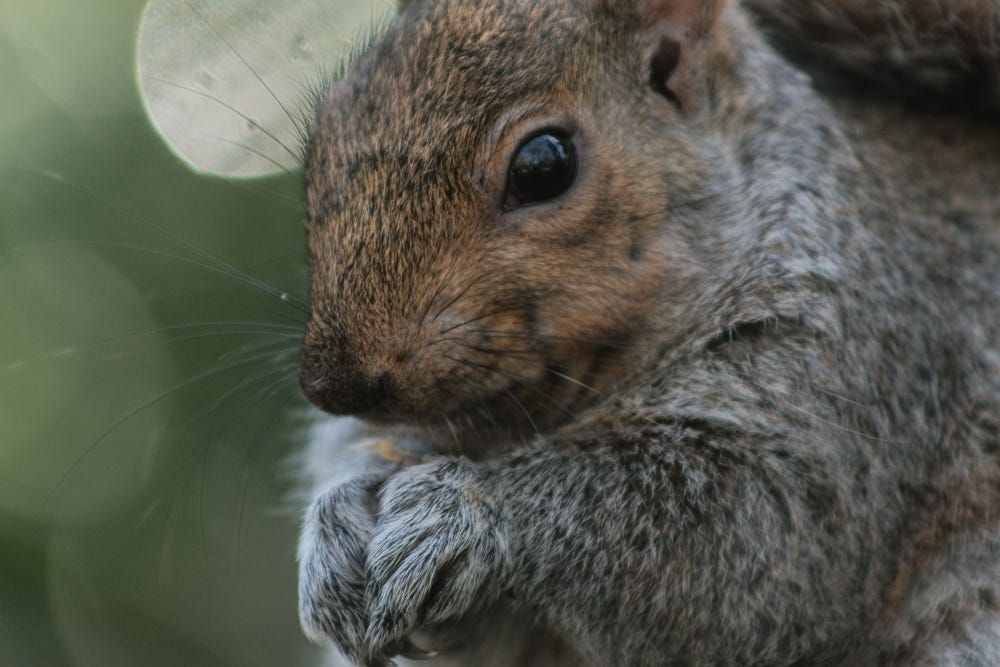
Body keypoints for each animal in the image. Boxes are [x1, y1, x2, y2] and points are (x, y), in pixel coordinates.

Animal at [294, 0, 1000, 665]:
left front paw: (465, 508)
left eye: (543, 166)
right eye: (322, 136)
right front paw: (335, 527)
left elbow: (766, 538)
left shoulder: (854, 365)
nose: (335, 387)